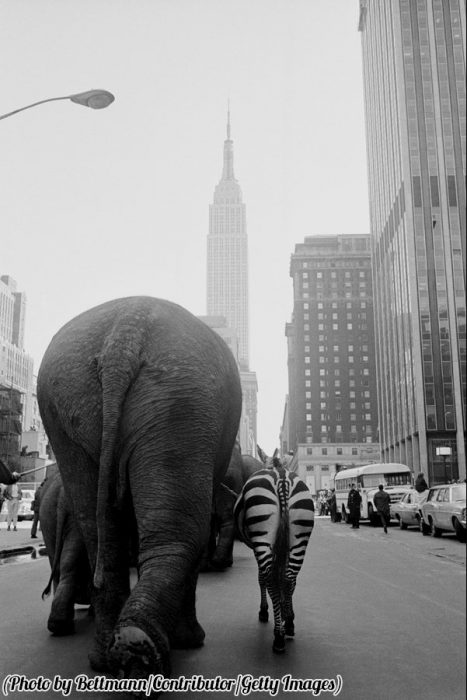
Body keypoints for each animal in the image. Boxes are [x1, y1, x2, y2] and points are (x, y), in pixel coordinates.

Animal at [36, 296, 241, 684]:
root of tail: (127, 327)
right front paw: (189, 641)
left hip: (69, 403)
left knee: (98, 532)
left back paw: (107, 656)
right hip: (181, 399)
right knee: (182, 533)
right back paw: (141, 650)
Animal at [234, 448, 314, 652]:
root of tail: (281, 477)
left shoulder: (257, 547)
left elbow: (262, 579)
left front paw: (265, 611)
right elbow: (285, 579)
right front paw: (287, 614)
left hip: (262, 535)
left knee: (270, 578)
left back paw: (278, 636)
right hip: (300, 536)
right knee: (289, 578)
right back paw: (289, 625)